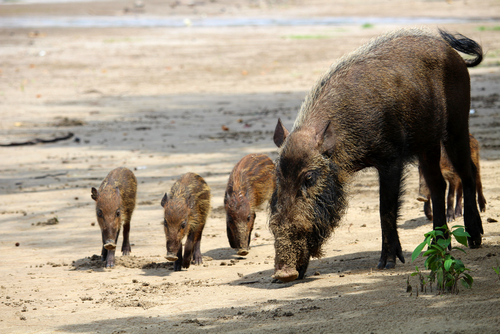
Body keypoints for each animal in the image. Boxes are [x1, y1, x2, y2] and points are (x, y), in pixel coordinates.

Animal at [270, 28, 484, 284]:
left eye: (310, 177)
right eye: (277, 176)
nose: (283, 274)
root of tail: (454, 54)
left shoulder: (391, 158)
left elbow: (386, 208)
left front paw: (387, 263)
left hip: (457, 124)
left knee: (467, 172)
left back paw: (474, 239)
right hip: (428, 144)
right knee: (438, 185)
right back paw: (437, 246)